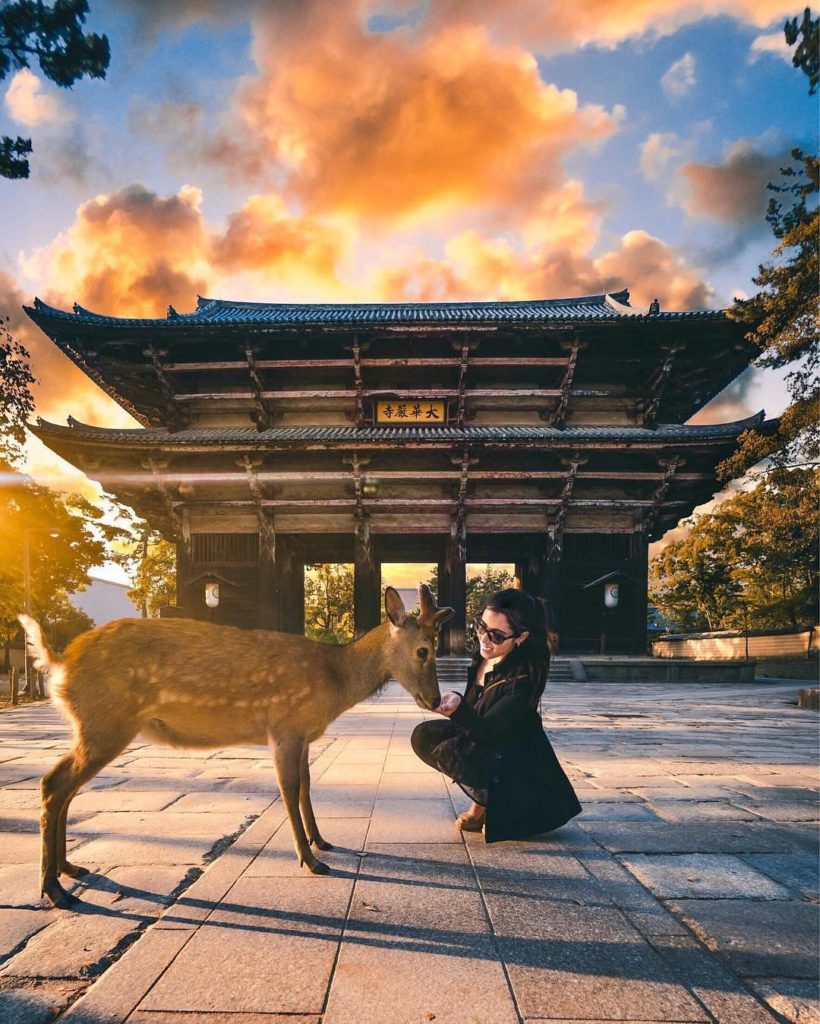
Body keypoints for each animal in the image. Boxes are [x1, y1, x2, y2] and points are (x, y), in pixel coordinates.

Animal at [18, 584, 453, 909]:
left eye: (436, 647)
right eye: (423, 650)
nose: (435, 699)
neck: (333, 685)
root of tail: (58, 665)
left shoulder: (303, 735)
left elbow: (308, 786)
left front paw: (322, 841)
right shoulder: (284, 725)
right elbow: (289, 789)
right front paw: (310, 860)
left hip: (93, 728)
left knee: (63, 788)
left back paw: (70, 870)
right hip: (105, 723)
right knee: (54, 783)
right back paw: (54, 890)